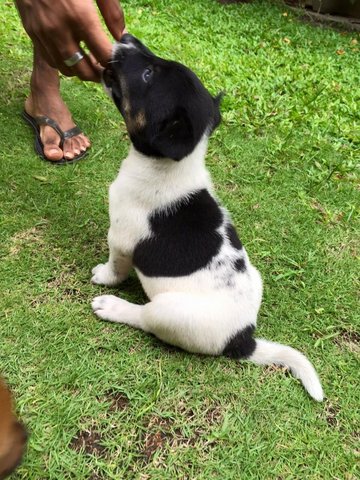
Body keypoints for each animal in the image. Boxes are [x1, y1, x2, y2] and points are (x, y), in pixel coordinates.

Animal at [91, 34, 322, 402]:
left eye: (147, 74)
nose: (125, 38)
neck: (170, 166)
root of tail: (242, 339)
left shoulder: (121, 240)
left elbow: (116, 268)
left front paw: (103, 276)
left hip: (168, 312)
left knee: (144, 317)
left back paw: (113, 307)